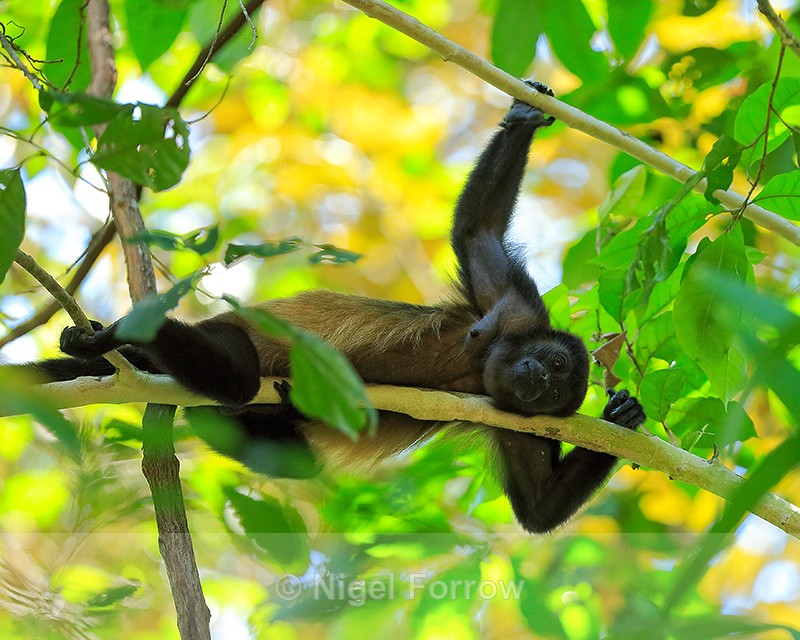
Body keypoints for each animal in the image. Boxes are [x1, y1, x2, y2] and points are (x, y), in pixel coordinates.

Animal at [15, 82, 645, 533]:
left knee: (274, 437)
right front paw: (523, 116)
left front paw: (624, 417)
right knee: (239, 370)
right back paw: (118, 338)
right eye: (556, 366)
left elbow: (538, 510)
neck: (487, 365)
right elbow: (478, 229)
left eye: (556, 394)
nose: (539, 380)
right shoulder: (515, 308)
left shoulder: (518, 423)